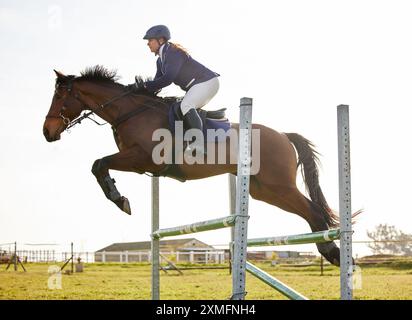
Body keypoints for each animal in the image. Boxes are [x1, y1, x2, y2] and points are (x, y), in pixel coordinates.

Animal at [43, 64, 342, 264]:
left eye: (59, 97)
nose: (47, 132)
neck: (130, 111)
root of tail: (283, 135)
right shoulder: (140, 163)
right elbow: (99, 165)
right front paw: (120, 198)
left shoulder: (141, 157)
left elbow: (99, 163)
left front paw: (120, 200)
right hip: (264, 190)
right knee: (309, 211)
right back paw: (332, 252)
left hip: (278, 185)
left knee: (314, 210)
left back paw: (332, 252)